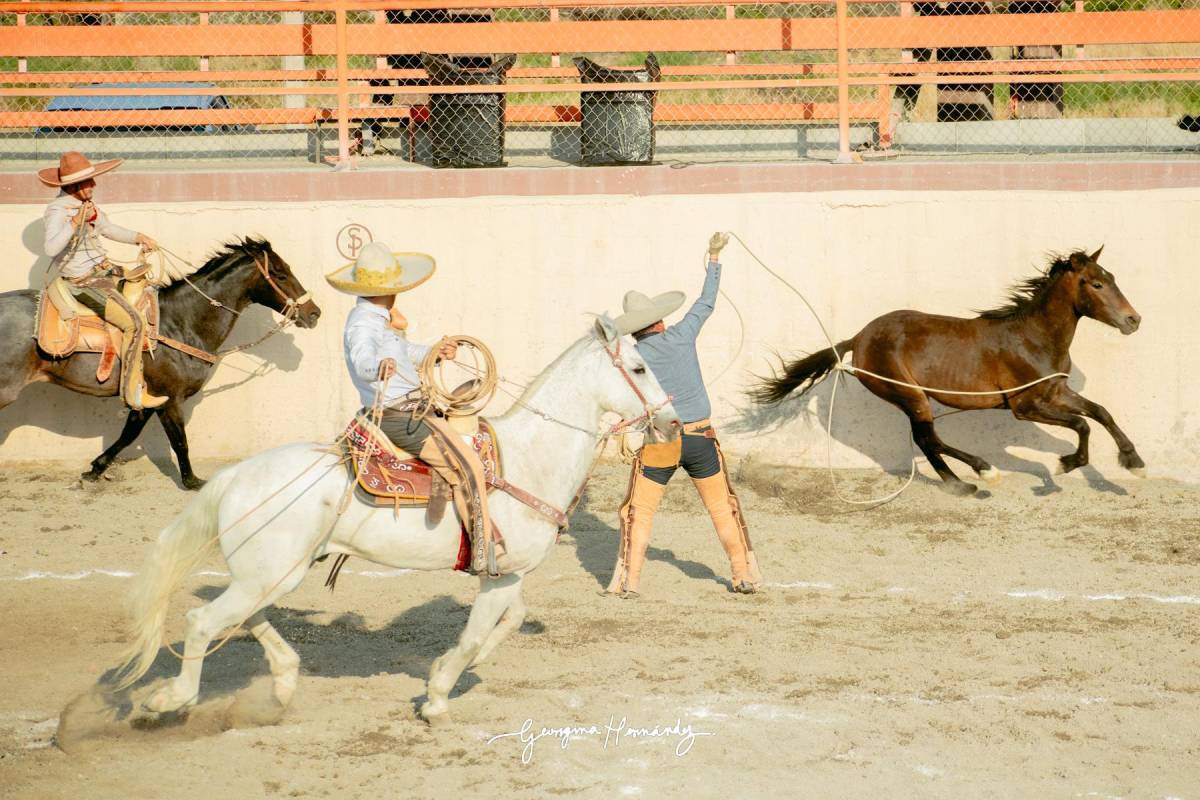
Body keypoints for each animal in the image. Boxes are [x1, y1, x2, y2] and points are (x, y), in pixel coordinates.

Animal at [0, 237, 321, 489]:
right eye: (279, 274)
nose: (313, 313)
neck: (179, 322)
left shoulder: (146, 397)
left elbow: (129, 434)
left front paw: (95, 469)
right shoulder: (170, 398)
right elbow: (180, 441)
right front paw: (192, 481)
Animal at [114, 316, 676, 724]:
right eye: (640, 368)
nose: (672, 422)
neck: (529, 457)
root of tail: (235, 476)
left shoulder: (508, 574)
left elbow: (508, 622)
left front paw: (452, 671)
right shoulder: (500, 576)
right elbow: (474, 635)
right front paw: (437, 698)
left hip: (270, 573)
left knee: (244, 619)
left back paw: (284, 682)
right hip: (269, 574)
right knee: (203, 621)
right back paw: (173, 699)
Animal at [748, 247, 1142, 494]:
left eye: (1111, 277)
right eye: (1096, 283)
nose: (1133, 320)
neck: (1032, 337)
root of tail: (858, 337)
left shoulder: (1056, 392)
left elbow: (1100, 413)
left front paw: (1133, 460)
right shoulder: (1025, 406)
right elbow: (1081, 424)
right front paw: (1066, 464)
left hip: (911, 398)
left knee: (926, 440)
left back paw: (961, 485)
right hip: (909, 395)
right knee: (929, 439)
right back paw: (983, 472)